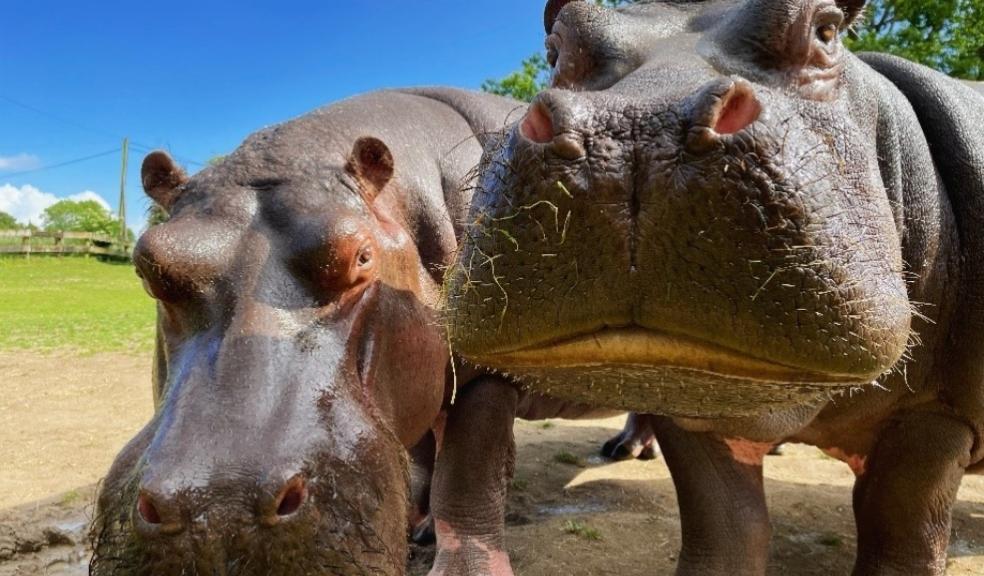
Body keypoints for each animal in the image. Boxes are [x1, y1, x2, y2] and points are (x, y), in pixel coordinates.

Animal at [88, 88, 530, 576]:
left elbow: (470, 468)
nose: (220, 512)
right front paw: (414, 530)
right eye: (148, 266)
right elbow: (421, 453)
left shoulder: (490, 369)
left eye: (362, 256)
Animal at [442, 1, 984, 575]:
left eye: (827, 28)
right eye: (556, 46)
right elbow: (726, 527)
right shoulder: (692, 413)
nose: (635, 124)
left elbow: (902, 531)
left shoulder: (936, 416)